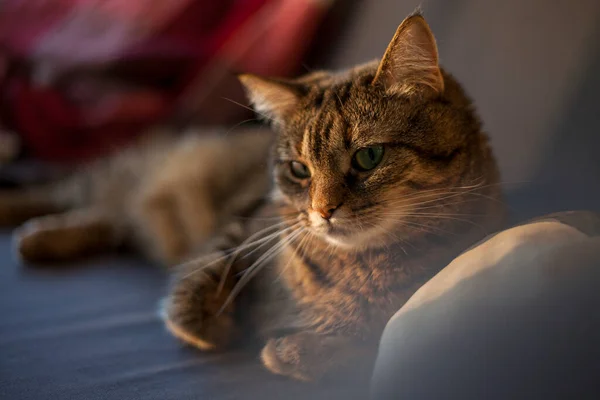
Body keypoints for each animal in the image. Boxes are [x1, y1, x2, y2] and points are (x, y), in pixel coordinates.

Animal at [0, 10, 504, 382]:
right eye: (299, 170)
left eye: (369, 157)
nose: (322, 211)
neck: (362, 264)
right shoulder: (246, 225)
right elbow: (198, 282)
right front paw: (214, 323)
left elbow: (359, 341)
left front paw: (299, 348)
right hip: (122, 176)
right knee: (69, 191)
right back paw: (31, 227)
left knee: (109, 220)